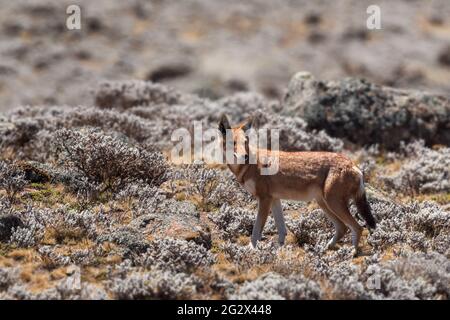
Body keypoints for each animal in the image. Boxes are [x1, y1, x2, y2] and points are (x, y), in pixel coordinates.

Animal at [218, 115, 376, 258]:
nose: (244, 156)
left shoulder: (264, 199)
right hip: (324, 203)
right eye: (233, 143)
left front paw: (251, 249)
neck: (249, 165)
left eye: (245, 142)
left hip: (333, 203)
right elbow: (281, 229)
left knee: (358, 227)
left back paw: (352, 253)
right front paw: (279, 249)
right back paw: (327, 247)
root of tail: (354, 166)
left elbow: (257, 229)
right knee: (343, 227)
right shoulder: (274, 199)